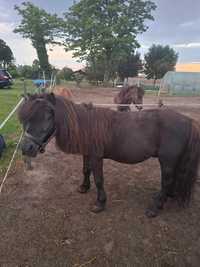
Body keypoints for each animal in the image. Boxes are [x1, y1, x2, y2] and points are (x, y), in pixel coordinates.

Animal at [18, 94, 200, 218]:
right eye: (25, 118)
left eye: (49, 116)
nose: (26, 148)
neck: (86, 125)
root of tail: (188, 121)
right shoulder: (87, 154)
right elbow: (85, 170)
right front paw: (84, 187)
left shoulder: (96, 157)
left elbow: (99, 179)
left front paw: (100, 203)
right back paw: (168, 197)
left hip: (167, 161)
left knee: (167, 181)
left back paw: (155, 207)